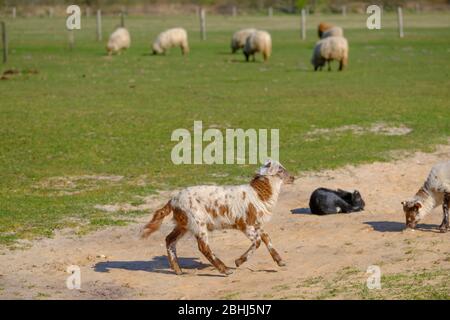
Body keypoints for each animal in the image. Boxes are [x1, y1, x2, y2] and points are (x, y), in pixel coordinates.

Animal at [142, 160, 296, 276]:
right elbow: (257, 242)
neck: (258, 194)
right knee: (203, 247)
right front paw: (238, 261)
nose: (293, 178)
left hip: (184, 224)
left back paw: (178, 270)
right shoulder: (244, 224)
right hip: (197, 223)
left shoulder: (257, 224)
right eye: (280, 170)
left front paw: (280, 261)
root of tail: (173, 200)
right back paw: (225, 270)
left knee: (169, 240)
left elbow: (266, 238)